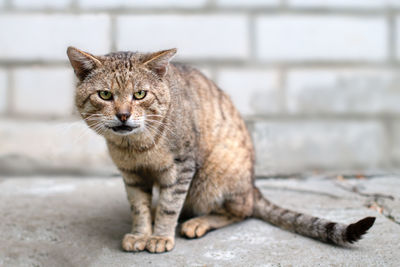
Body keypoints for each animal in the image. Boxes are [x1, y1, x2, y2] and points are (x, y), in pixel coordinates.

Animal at [66, 47, 376, 254]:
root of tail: (252, 184)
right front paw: (141, 233)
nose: (123, 115)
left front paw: (160, 236)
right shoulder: (131, 175)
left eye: (140, 94)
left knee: (241, 211)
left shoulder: (182, 166)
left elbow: (168, 206)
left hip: (212, 177)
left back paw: (198, 222)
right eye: (105, 95)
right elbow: (139, 208)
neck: (136, 148)